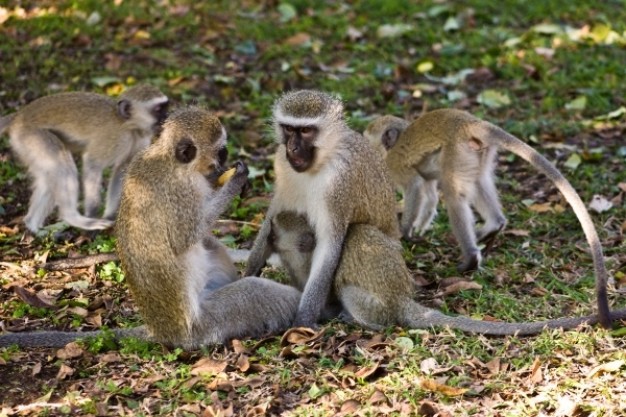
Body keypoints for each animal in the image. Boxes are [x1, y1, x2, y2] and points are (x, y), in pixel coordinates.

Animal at [0, 85, 168, 234]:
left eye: (165, 107)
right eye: (158, 110)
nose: (166, 118)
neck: (129, 125)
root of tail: (19, 116)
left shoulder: (141, 138)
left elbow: (122, 170)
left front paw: (110, 215)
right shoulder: (115, 138)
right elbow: (92, 163)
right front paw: (93, 213)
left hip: (25, 143)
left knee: (48, 178)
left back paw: (33, 226)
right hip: (31, 136)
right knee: (61, 166)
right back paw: (75, 219)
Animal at [0, 107, 302, 348]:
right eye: (222, 151)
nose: (220, 167)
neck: (168, 160)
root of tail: (162, 331)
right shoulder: (184, 191)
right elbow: (184, 237)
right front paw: (235, 181)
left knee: (211, 246)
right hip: (206, 325)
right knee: (252, 292)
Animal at [246, 89, 398, 326]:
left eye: (306, 130)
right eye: (289, 129)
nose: (292, 148)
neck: (322, 159)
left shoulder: (339, 181)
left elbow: (328, 245)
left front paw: (303, 319)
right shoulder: (281, 163)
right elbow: (273, 219)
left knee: (357, 233)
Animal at [364, 109, 612, 328]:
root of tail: (469, 122)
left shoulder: (394, 164)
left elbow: (416, 186)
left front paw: (404, 232)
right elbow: (429, 190)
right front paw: (420, 228)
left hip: (458, 151)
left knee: (454, 195)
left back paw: (471, 258)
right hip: (477, 153)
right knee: (478, 180)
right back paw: (494, 225)